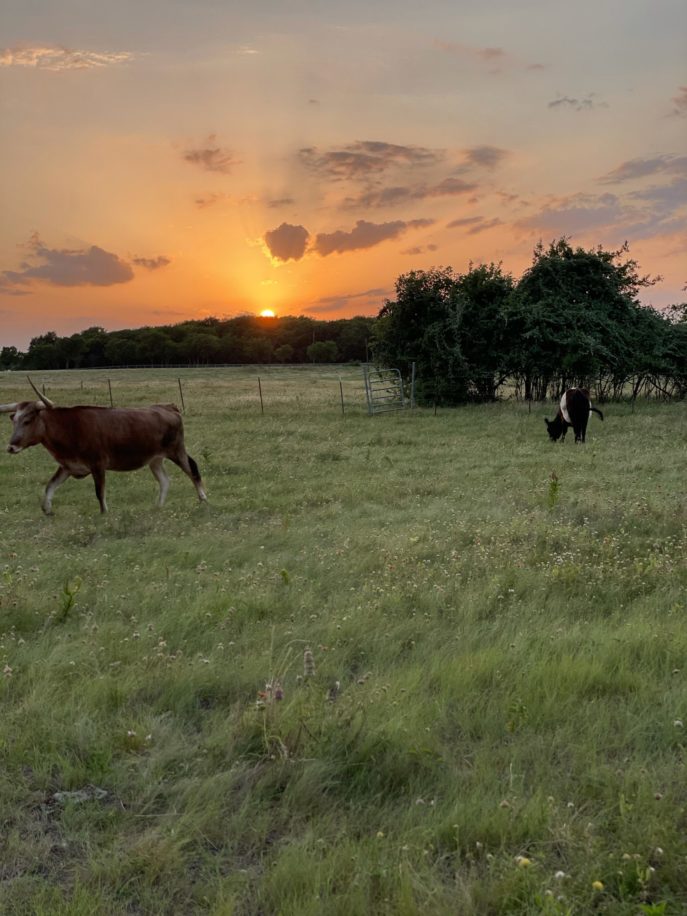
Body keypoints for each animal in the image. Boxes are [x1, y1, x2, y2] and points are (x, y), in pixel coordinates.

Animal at [0, 376, 207, 512]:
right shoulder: (67, 466)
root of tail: (168, 407)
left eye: (27, 421)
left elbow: (99, 492)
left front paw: (104, 514)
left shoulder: (97, 465)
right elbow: (49, 487)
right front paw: (47, 509)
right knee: (164, 480)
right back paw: (158, 506)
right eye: (14, 420)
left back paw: (203, 499)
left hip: (176, 451)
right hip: (155, 459)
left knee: (193, 470)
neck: (69, 428)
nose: (11, 447)